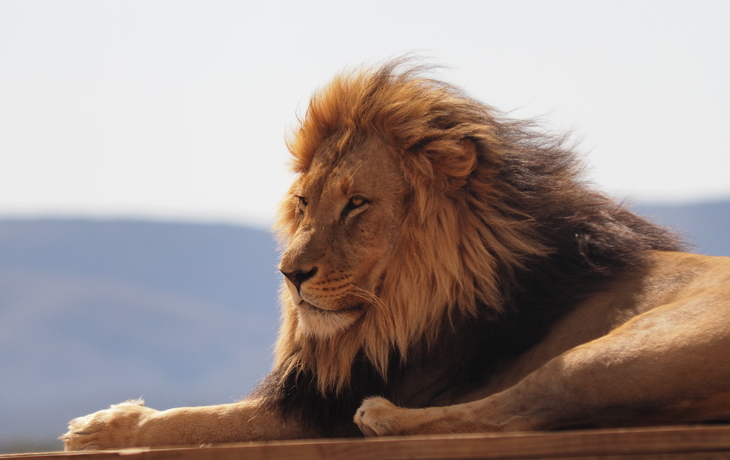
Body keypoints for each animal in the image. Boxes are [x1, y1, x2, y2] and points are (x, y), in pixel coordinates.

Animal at [63, 59, 730, 450]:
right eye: (303, 202)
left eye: (357, 204)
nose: (289, 274)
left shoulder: (323, 408)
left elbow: (202, 418)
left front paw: (102, 426)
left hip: (616, 352)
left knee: (520, 407)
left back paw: (383, 416)